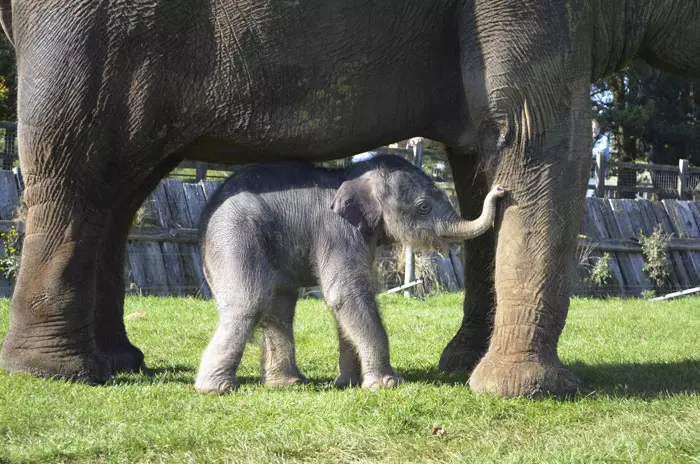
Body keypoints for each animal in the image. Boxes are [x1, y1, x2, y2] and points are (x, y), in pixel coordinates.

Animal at [196, 154, 504, 394]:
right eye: (423, 207)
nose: (500, 190)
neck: (351, 176)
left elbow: (349, 301)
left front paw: (349, 383)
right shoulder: (337, 230)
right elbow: (347, 294)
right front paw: (386, 384)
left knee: (280, 307)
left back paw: (287, 383)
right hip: (234, 234)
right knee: (249, 302)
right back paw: (216, 389)